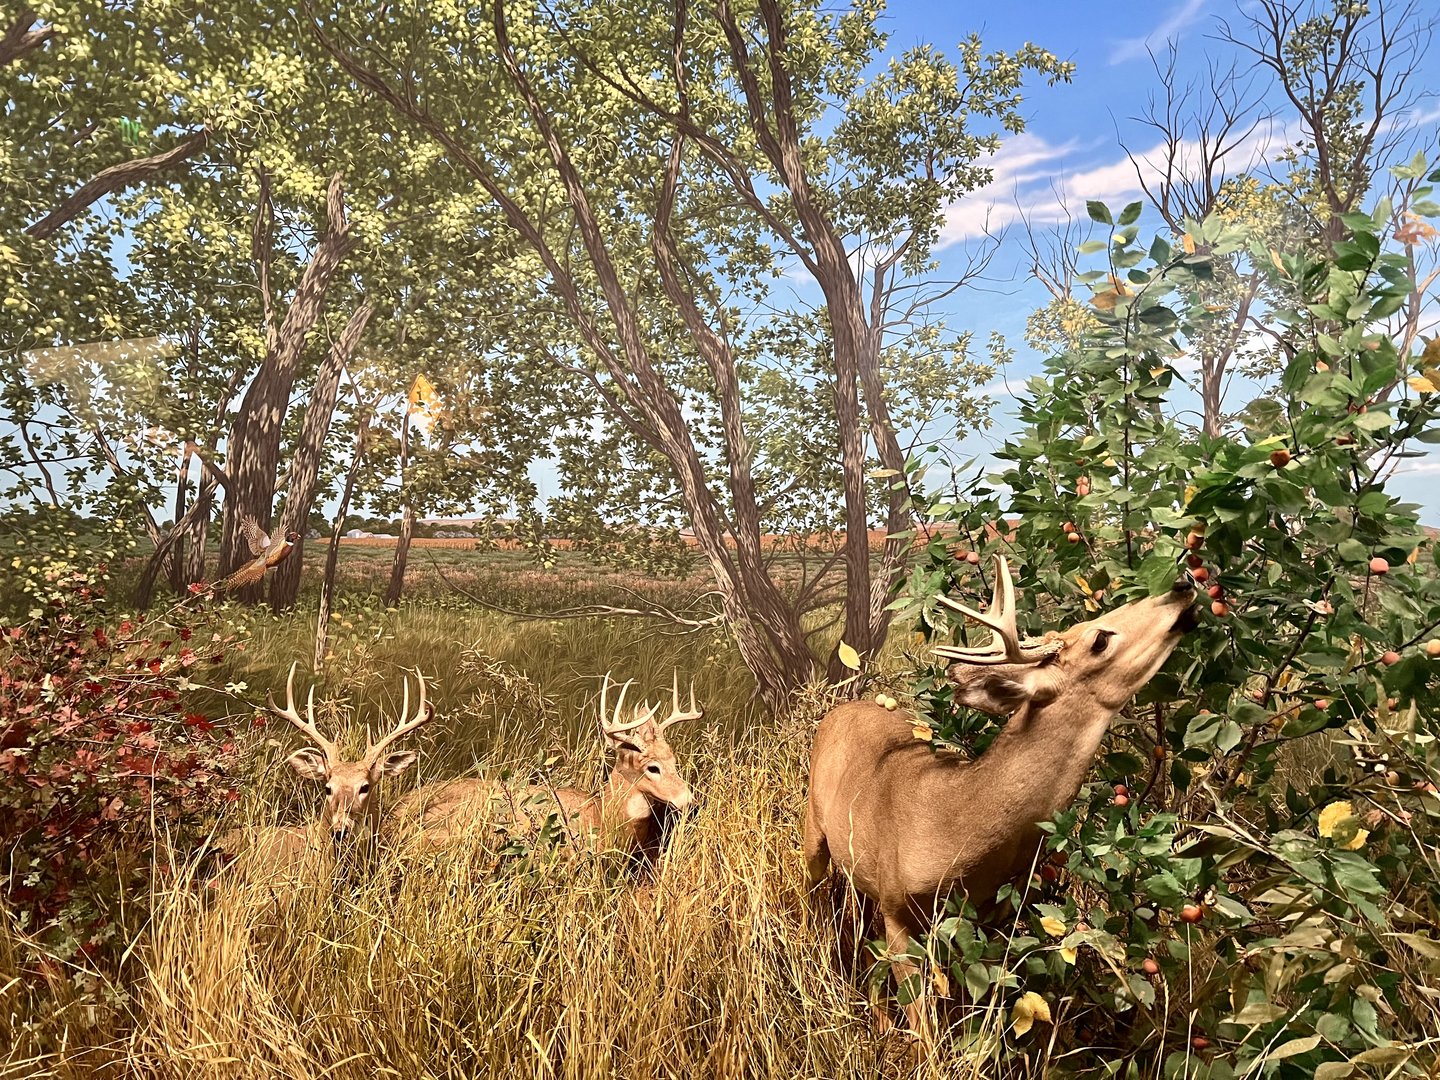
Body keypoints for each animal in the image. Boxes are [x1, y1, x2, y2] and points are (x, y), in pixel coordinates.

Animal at [803, 555, 1199, 1039]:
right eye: (1099, 639)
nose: (1183, 584)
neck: (960, 827)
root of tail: (840, 708)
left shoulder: (991, 915)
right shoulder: (897, 907)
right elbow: (922, 1020)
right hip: (814, 828)